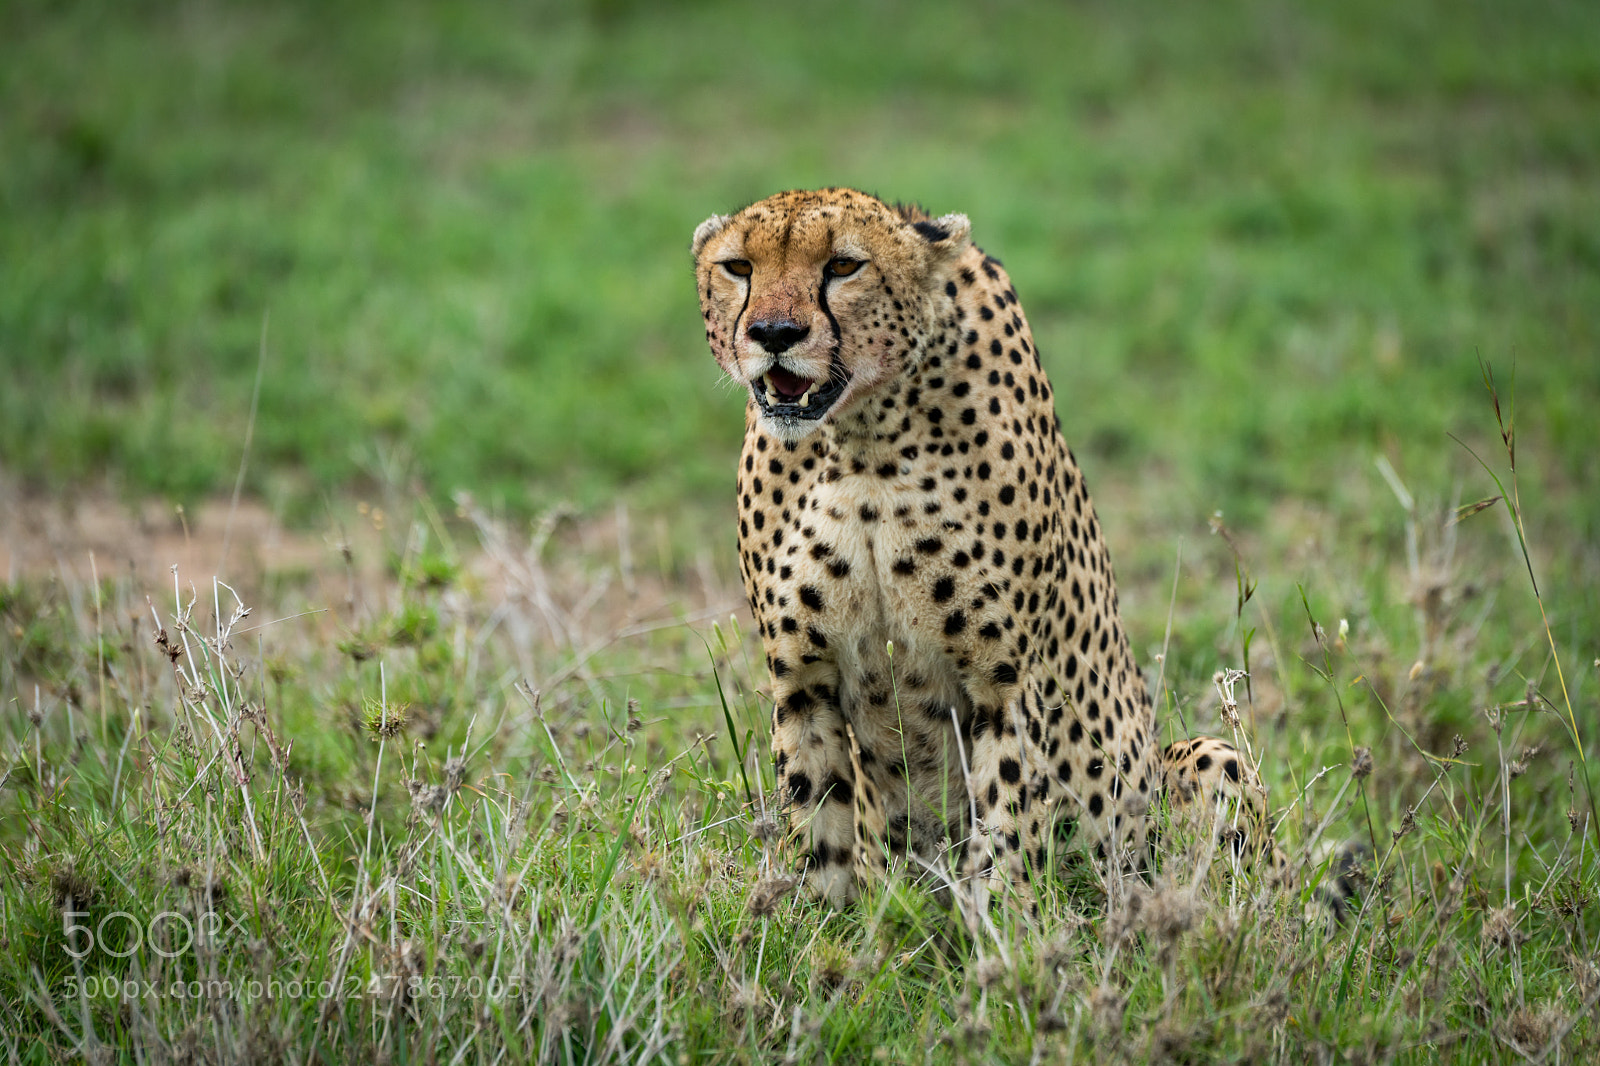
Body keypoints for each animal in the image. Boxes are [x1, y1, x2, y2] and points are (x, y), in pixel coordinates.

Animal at [692, 187, 1278, 910]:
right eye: (738, 267)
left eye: (844, 266)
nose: (774, 335)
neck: (861, 439)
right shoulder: (803, 680)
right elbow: (820, 824)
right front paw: (826, 930)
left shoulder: (1007, 684)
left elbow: (1005, 824)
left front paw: (1002, 932)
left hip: (1197, 764)